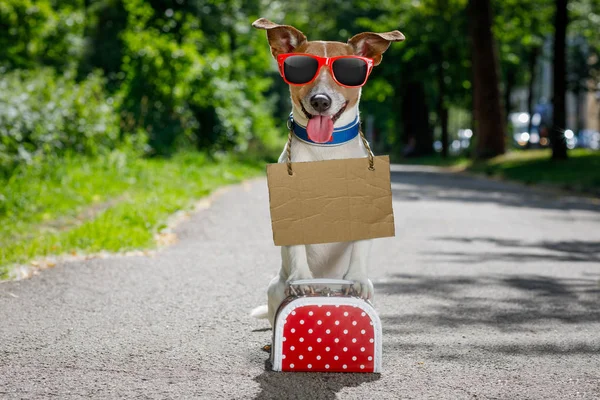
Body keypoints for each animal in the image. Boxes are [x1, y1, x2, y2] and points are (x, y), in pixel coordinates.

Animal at [248, 17, 404, 326]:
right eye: (300, 69)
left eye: (347, 71)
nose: (320, 101)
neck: (326, 151)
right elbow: (296, 247)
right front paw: (302, 278)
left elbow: (360, 247)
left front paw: (357, 279)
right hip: (274, 288)